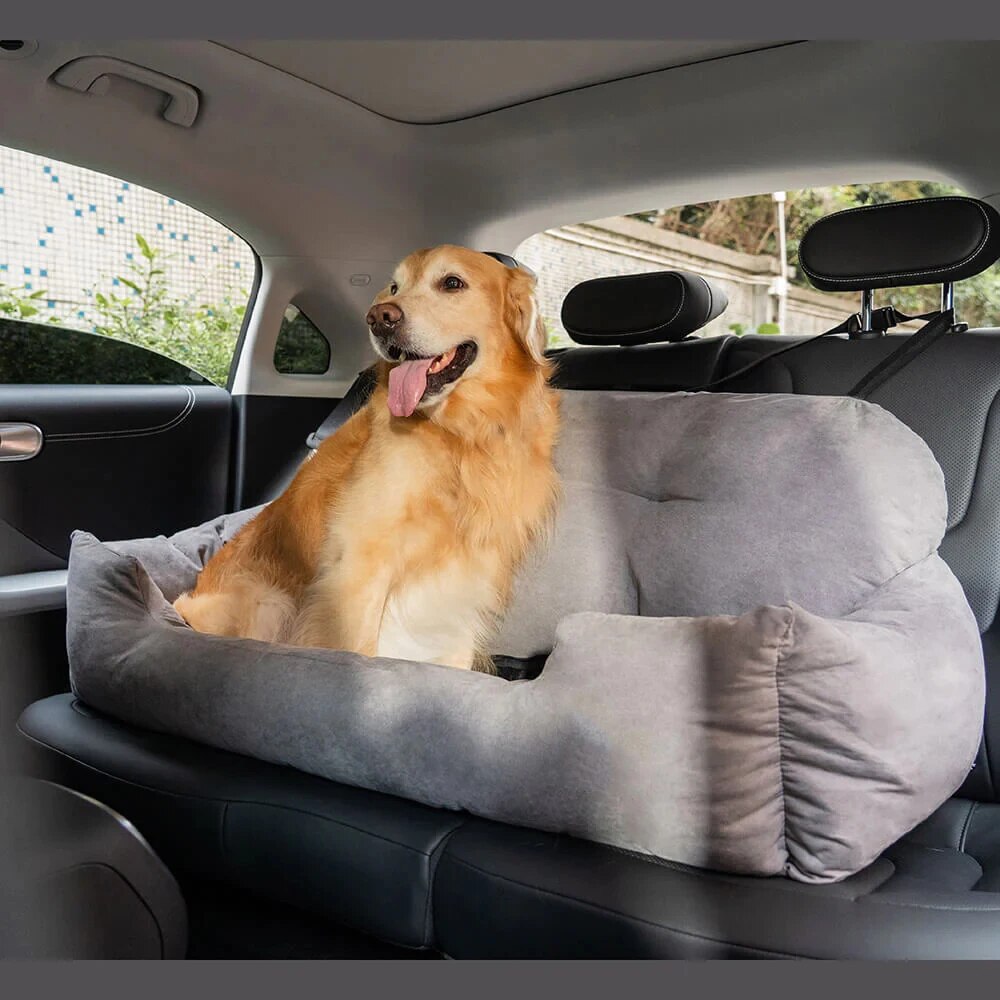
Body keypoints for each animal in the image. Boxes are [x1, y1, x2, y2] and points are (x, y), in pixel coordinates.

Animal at [173, 246, 564, 672]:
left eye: (452, 282)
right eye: (394, 287)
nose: (379, 318)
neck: (461, 433)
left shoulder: (467, 583)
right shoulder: (359, 565)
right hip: (271, 601)